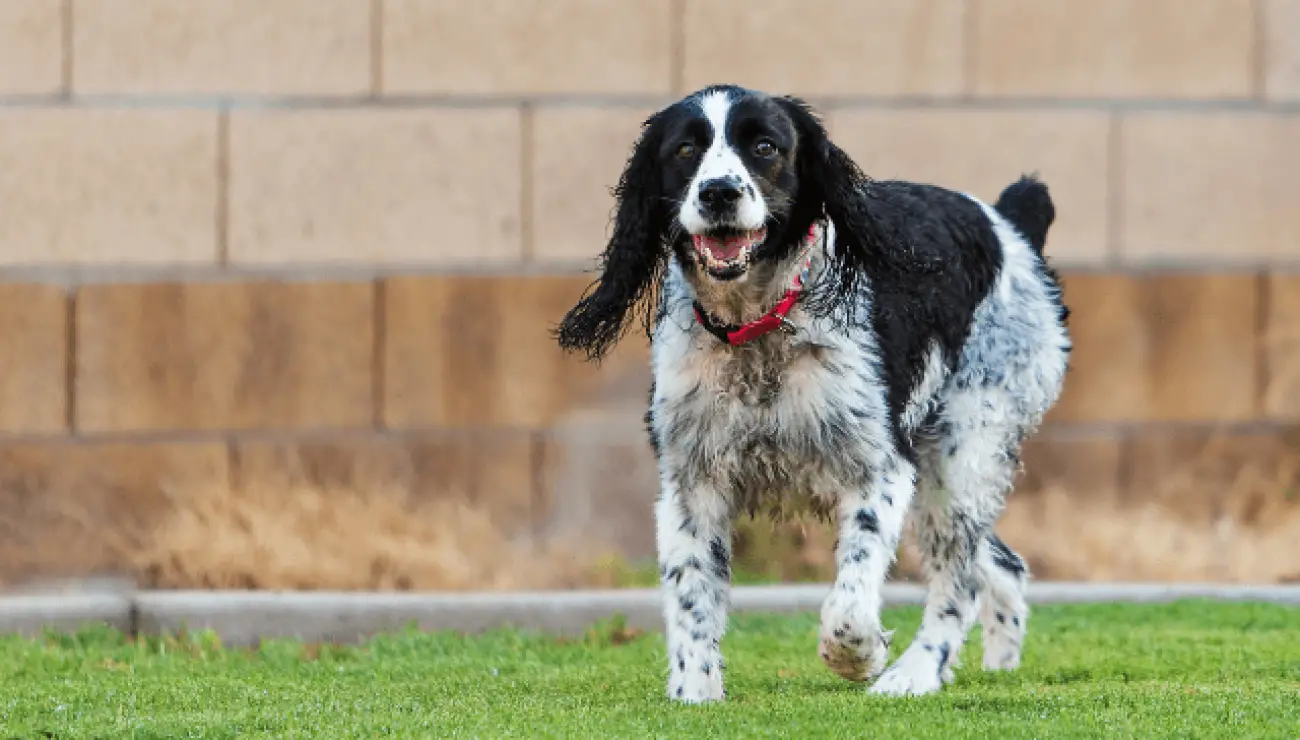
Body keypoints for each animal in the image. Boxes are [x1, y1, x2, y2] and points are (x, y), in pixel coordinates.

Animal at [553, 85, 1071, 697]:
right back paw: (995, 666)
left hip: (961, 455)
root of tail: (1009, 224)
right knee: (1003, 565)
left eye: (764, 146)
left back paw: (915, 673)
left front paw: (861, 658)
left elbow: (850, 604)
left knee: (958, 581)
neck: (757, 328)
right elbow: (690, 596)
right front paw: (694, 693)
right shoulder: (690, 478)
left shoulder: (880, 468)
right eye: (684, 149)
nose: (719, 191)